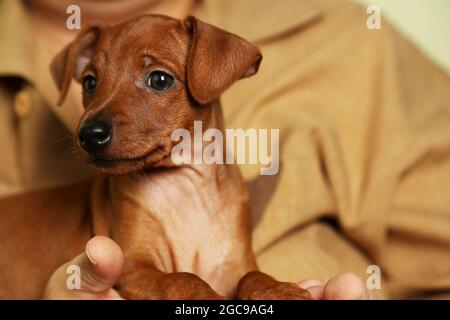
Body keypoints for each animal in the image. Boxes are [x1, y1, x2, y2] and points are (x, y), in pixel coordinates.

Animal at [0, 14, 312, 300]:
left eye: (160, 79)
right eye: (90, 82)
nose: (89, 134)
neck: (184, 186)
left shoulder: (232, 264)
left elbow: (252, 274)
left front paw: (278, 289)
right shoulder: (134, 268)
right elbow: (181, 278)